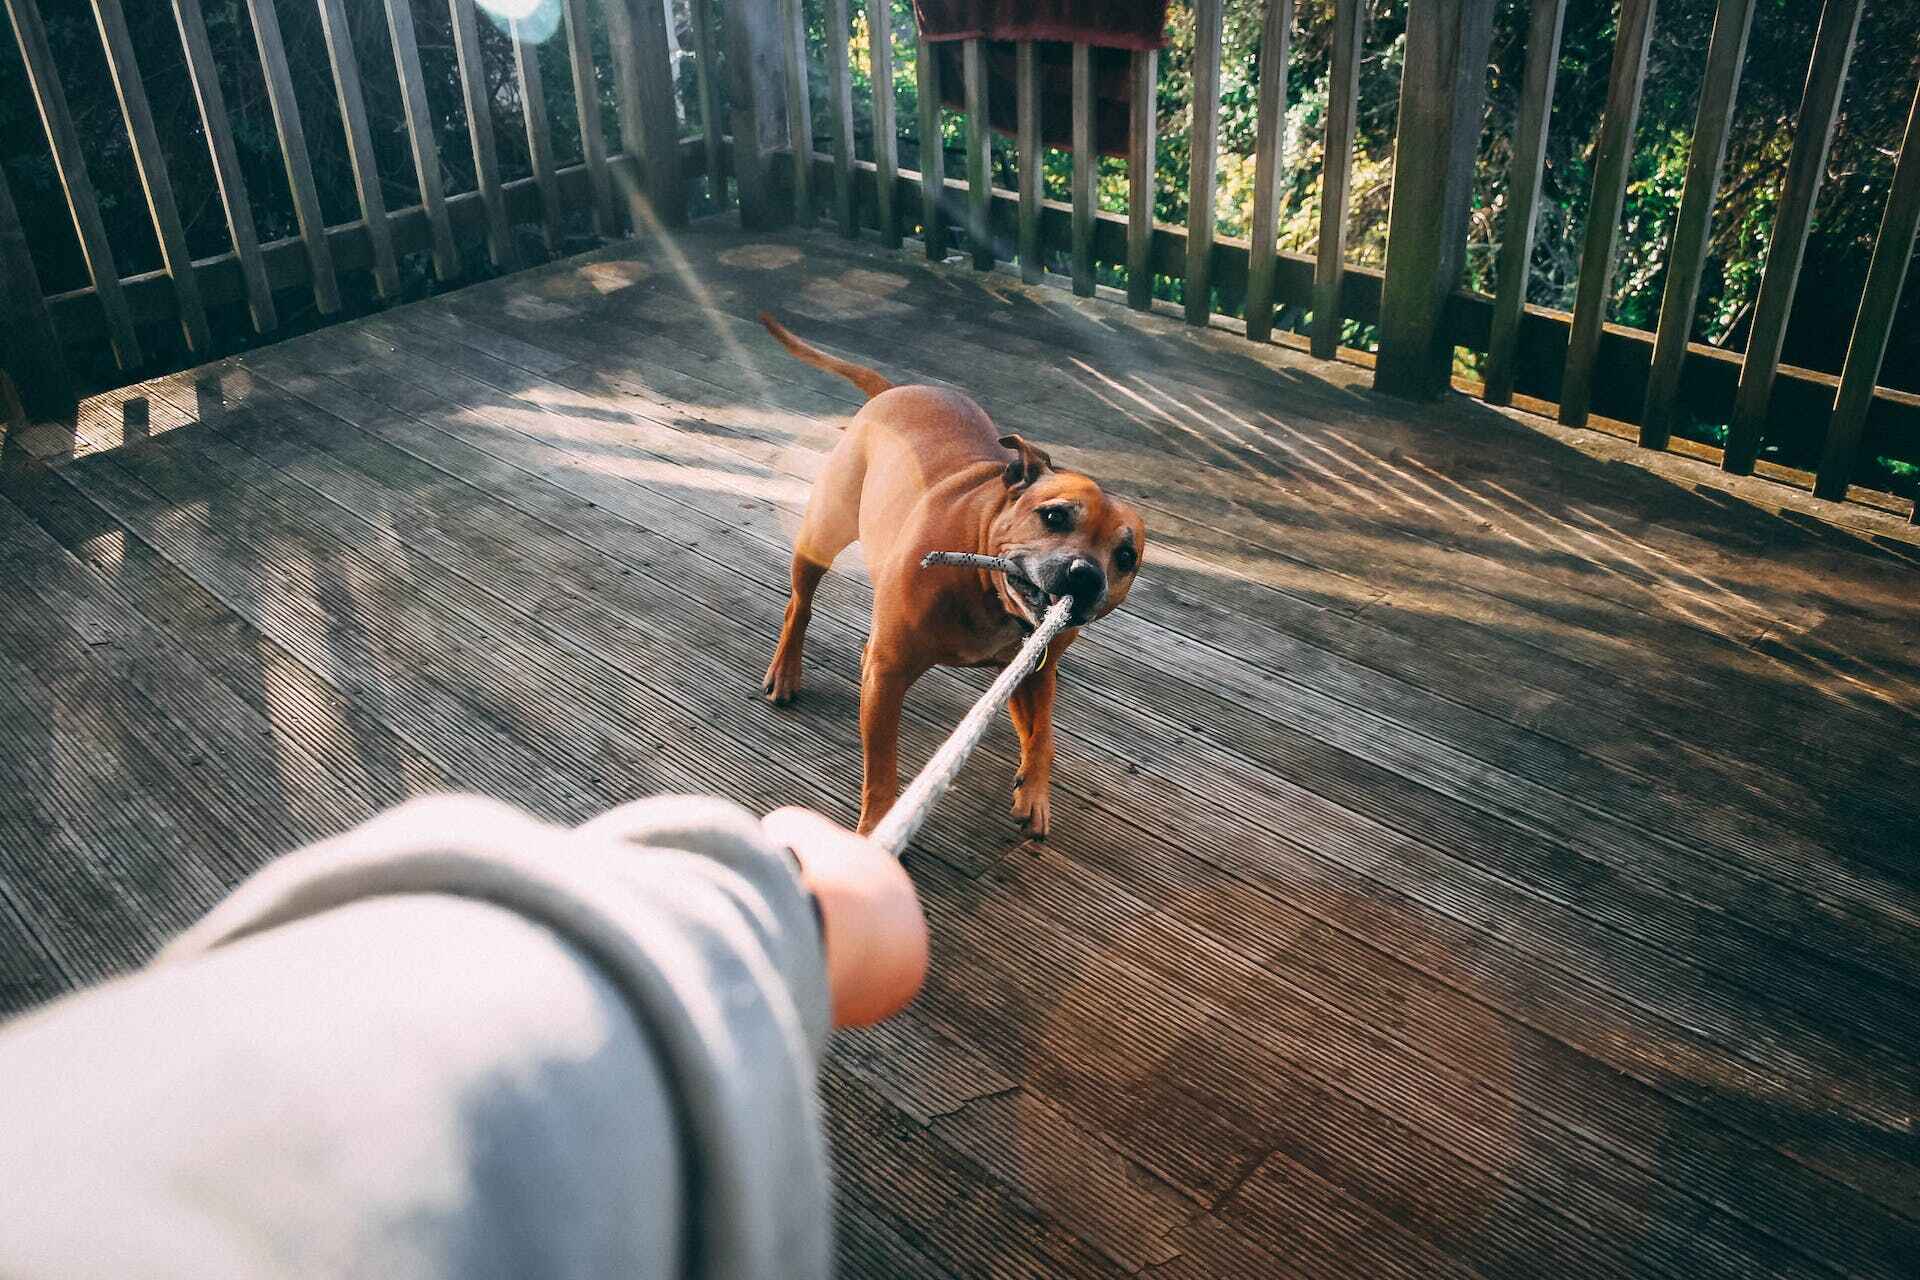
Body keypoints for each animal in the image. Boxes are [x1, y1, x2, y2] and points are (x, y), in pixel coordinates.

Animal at [752, 314, 1144, 840]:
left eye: (1125, 556)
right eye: (1055, 516)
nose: (1084, 577)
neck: (990, 596)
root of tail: (893, 390)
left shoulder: (1032, 674)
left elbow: (1044, 733)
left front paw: (1034, 793)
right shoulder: (889, 675)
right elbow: (882, 765)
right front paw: (877, 827)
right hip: (823, 533)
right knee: (800, 603)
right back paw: (786, 671)